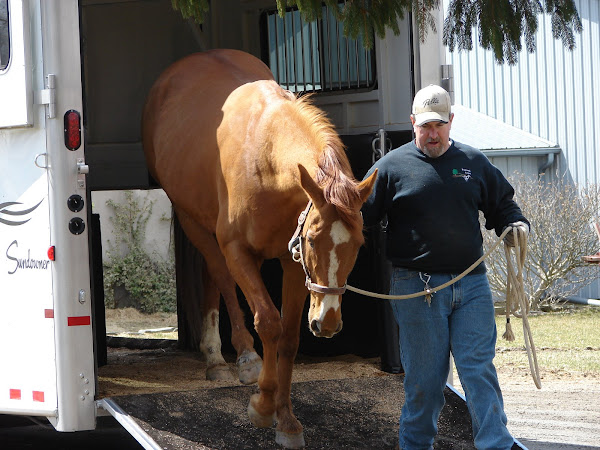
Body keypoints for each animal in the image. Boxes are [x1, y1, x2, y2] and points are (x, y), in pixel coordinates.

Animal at [142, 47, 376, 448]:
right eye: (313, 239)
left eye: (359, 244)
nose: (328, 323)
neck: (264, 159)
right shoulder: (240, 251)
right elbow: (268, 323)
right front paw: (263, 406)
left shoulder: (293, 263)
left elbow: (290, 337)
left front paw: (287, 420)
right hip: (193, 221)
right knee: (219, 273)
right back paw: (238, 356)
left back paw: (216, 357)